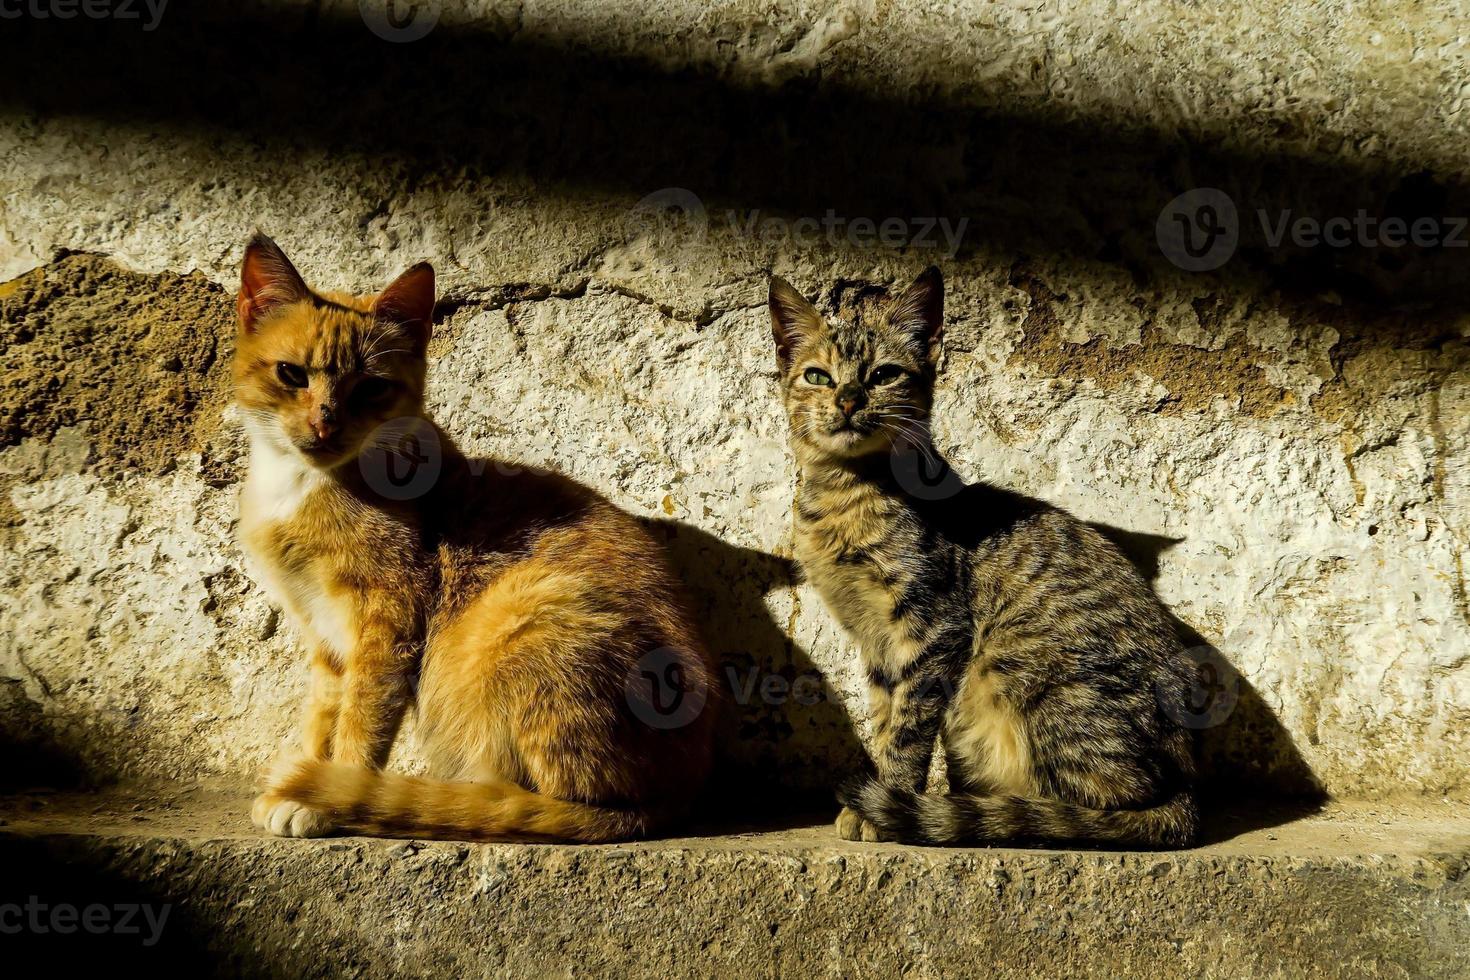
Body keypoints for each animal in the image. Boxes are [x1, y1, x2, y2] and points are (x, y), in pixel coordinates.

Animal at [236, 235, 717, 846]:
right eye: (292, 374)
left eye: (370, 388)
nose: (325, 424)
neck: (297, 486)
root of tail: (678, 797)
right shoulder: (326, 637)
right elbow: (323, 717)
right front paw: (299, 784)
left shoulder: (386, 622)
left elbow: (360, 720)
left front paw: (328, 794)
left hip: (520, 615)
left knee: (552, 801)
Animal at [770, 270, 1193, 852]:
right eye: (817, 375)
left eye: (884, 375)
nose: (850, 400)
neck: (845, 495)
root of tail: (1186, 789)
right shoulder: (876, 643)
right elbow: (884, 720)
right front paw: (878, 795)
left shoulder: (933, 629)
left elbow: (906, 729)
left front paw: (884, 802)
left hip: (1015, 672)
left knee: (1114, 801)